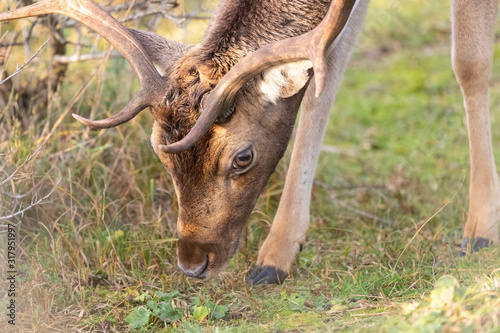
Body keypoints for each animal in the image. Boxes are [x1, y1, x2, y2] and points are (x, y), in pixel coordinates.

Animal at [0, 0, 498, 284]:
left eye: (243, 157)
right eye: (160, 153)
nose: (193, 264)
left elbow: (469, 62)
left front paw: (480, 229)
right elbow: (325, 77)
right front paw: (277, 255)